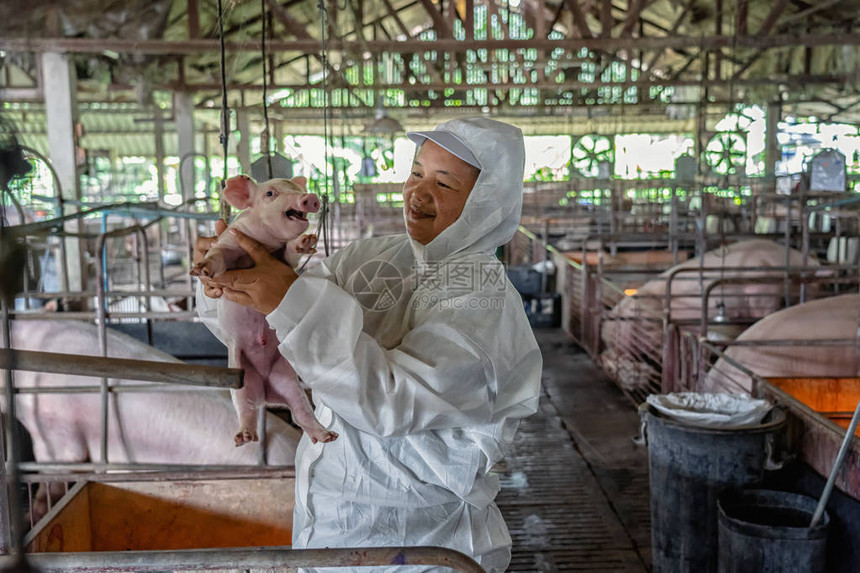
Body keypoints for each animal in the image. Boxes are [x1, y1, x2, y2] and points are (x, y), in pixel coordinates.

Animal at [190, 174, 338, 446]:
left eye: (297, 188)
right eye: (270, 193)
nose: (309, 197)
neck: (267, 245)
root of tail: (267, 394)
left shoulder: (285, 260)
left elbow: (292, 254)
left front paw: (306, 242)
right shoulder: (231, 241)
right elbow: (219, 255)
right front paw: (201, 270)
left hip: (288, 378)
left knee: (301, 412)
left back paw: (327, 436)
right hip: (241, 375)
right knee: (245, 406)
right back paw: (244, 438)